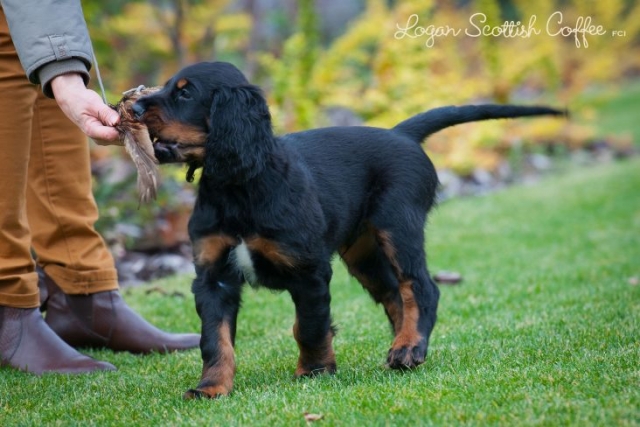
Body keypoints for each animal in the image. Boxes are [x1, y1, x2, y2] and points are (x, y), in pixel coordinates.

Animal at [131, 61, 564, 400]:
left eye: (186, 93)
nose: (132, 106)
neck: (237, 185)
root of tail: (400, 133)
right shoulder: (213, 276)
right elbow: (214, 339)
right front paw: (211, 388)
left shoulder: (308, 270)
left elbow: (309, 325)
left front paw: (315, 371)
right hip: (363, 251)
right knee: (394, 293)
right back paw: (402, 348)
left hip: (398, 226)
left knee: (420, 286)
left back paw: (409, 348)